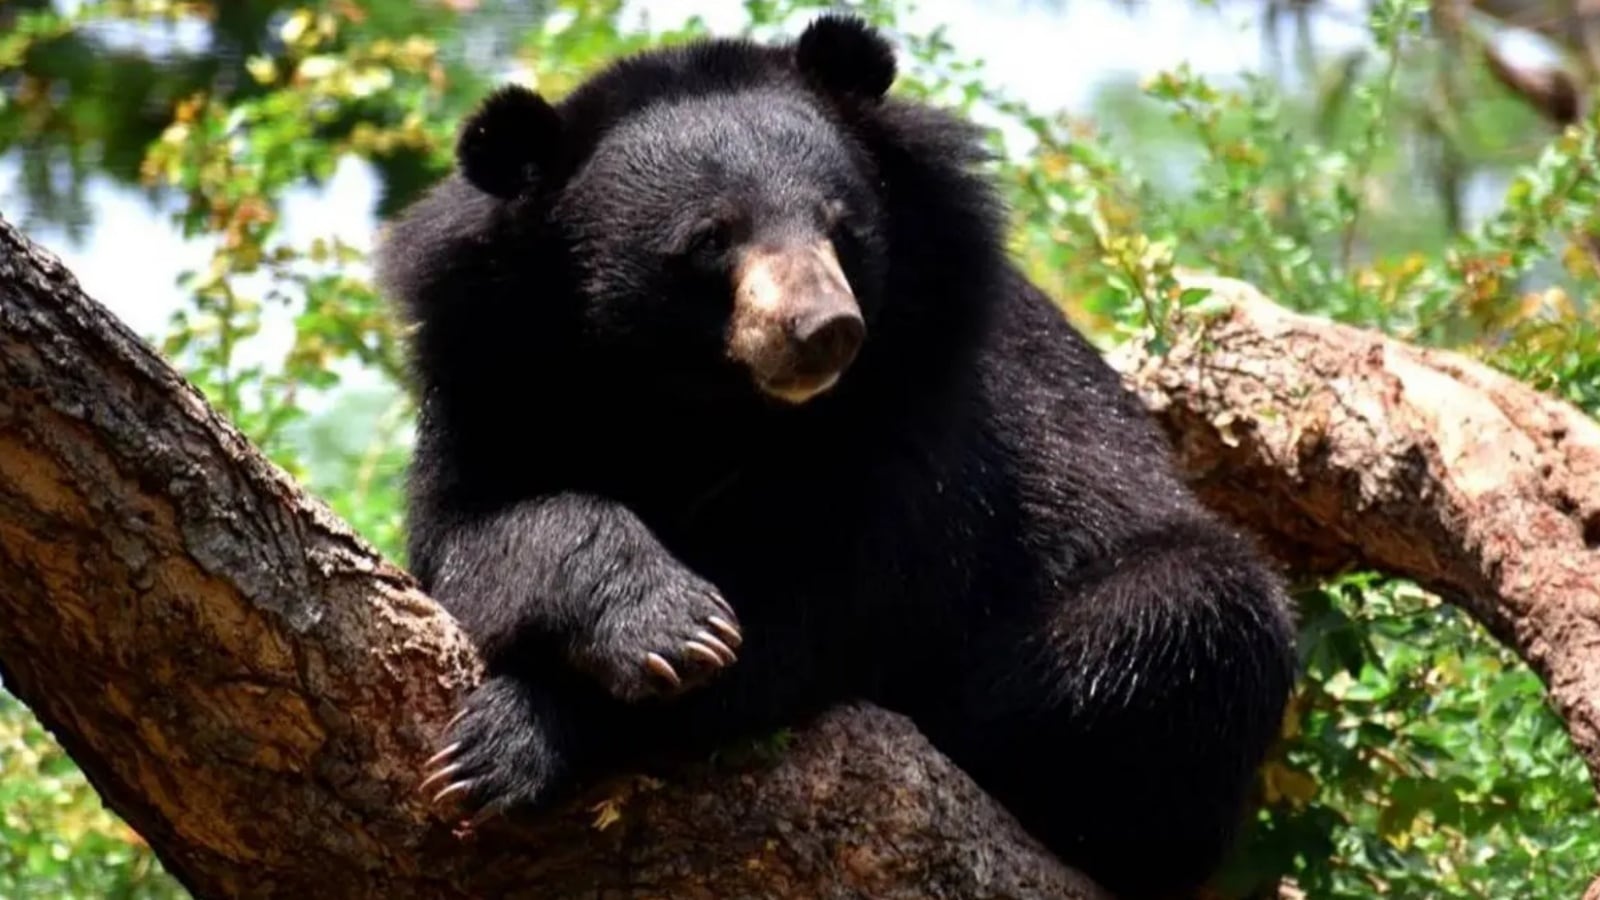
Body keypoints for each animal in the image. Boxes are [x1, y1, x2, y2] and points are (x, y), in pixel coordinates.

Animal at [375, 14, 1298, 900]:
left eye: (839, 227)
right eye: (711, 239)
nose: (824, 330)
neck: (698, 401)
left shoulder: (919, 408)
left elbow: (816, 606)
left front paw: (521, 735)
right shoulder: (491, 378)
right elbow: (476, 535)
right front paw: (663, 623)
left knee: (1188, 612)